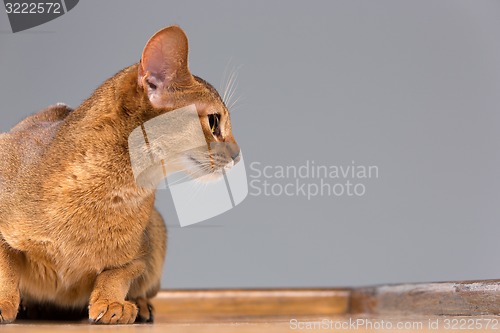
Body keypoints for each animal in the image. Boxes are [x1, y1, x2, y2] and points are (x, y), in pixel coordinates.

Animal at [0, 26, 240, 324]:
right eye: (214, 122)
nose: (238, 155)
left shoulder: (143, 249)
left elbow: (117, 273)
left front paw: (111, 302)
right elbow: (5, 266)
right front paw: (5, 302)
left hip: (158, 230)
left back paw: (142, 306)